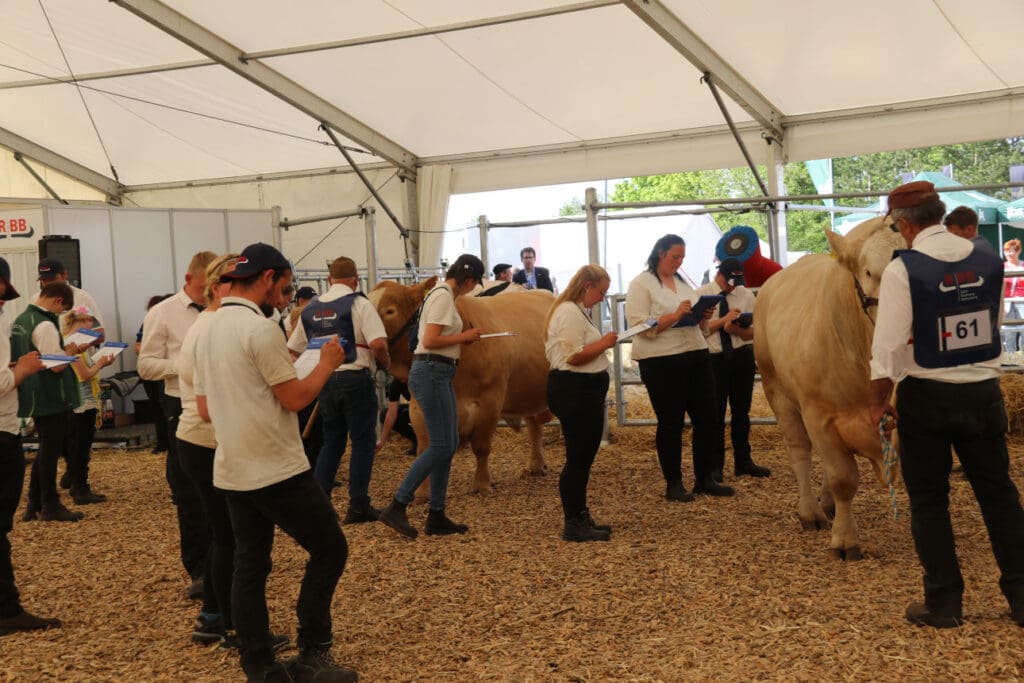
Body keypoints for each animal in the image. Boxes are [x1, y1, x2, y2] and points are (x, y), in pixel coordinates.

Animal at [370, 278, 552, 497]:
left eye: (389, 311)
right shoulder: (418, 407)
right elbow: (425, 447)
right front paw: (422, 492)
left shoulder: (490, 402)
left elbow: (482, 446)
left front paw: (482, 484)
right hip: (528, 393)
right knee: (535, 426)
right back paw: (536, 465)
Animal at [753, 219, 905, 561]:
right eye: (870, 272)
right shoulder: (819, 415)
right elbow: (843, 478)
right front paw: (845, 540)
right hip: (776, 390)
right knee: (800, 452)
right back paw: (810, 511)